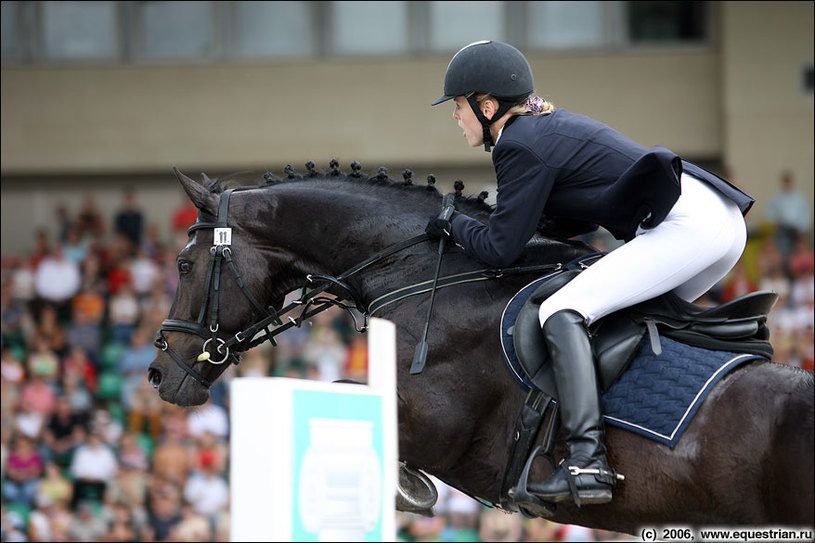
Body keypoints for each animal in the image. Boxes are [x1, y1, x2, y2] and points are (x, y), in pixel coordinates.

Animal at [147, 161, 814, 535]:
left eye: (184, 265)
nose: (157, 375)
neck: (425, 272)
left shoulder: (436, 423)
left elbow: (343, 400)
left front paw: (395, 486)